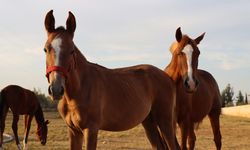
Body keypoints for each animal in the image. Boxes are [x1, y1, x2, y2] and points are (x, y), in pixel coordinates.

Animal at [42, 9, 177, 149]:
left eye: (72, 50)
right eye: (45, 49)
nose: (56, 89)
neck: (79, 90)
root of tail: (167, 77)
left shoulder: (91, 129)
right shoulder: (73, 131)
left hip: (165, 121)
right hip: (148, 122)